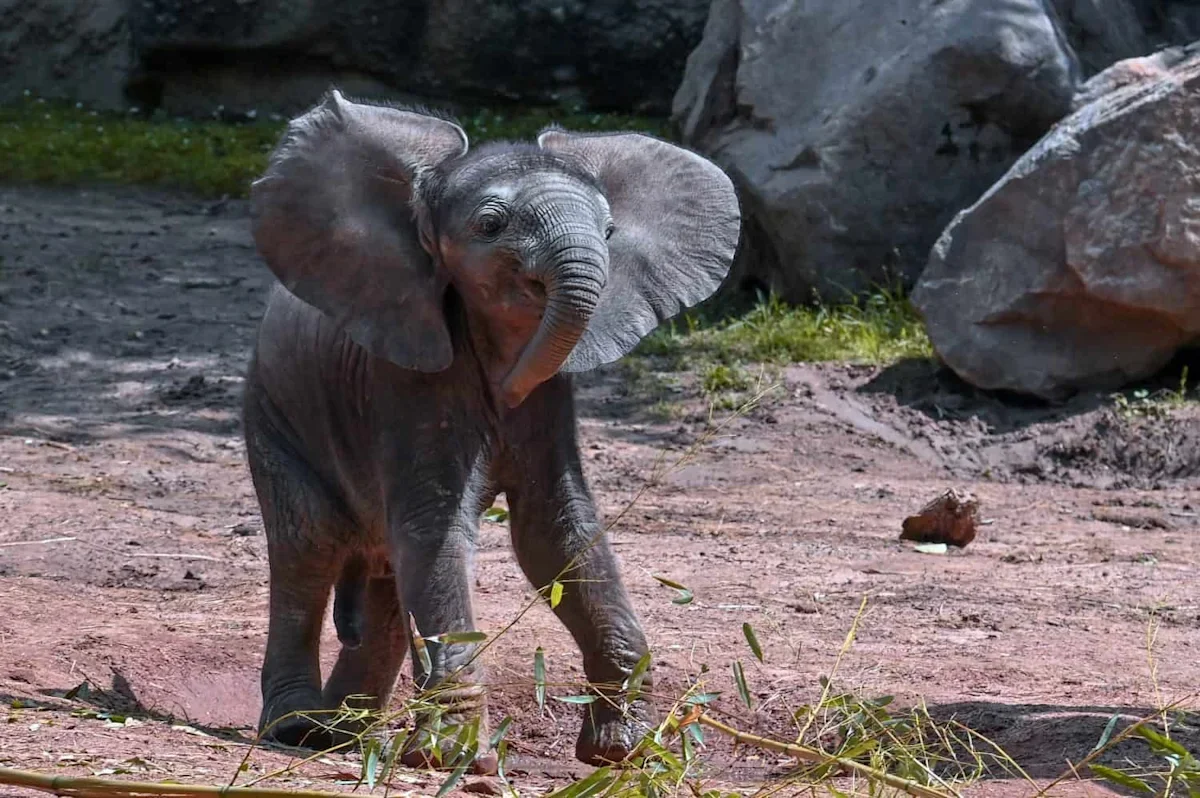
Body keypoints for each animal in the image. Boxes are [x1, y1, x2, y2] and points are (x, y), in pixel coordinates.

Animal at [241, 89, 741, 772]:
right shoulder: (405, 377)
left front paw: (625, 752)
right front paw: (453, 758)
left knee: (385, 576)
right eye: (490, 226)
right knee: (308, 546)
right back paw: (297, 730)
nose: (504, 389)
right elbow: (438, 529)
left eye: (610, 232)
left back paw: (345, 736)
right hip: (272, 413)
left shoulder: (552, 400)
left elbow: (556, 532)